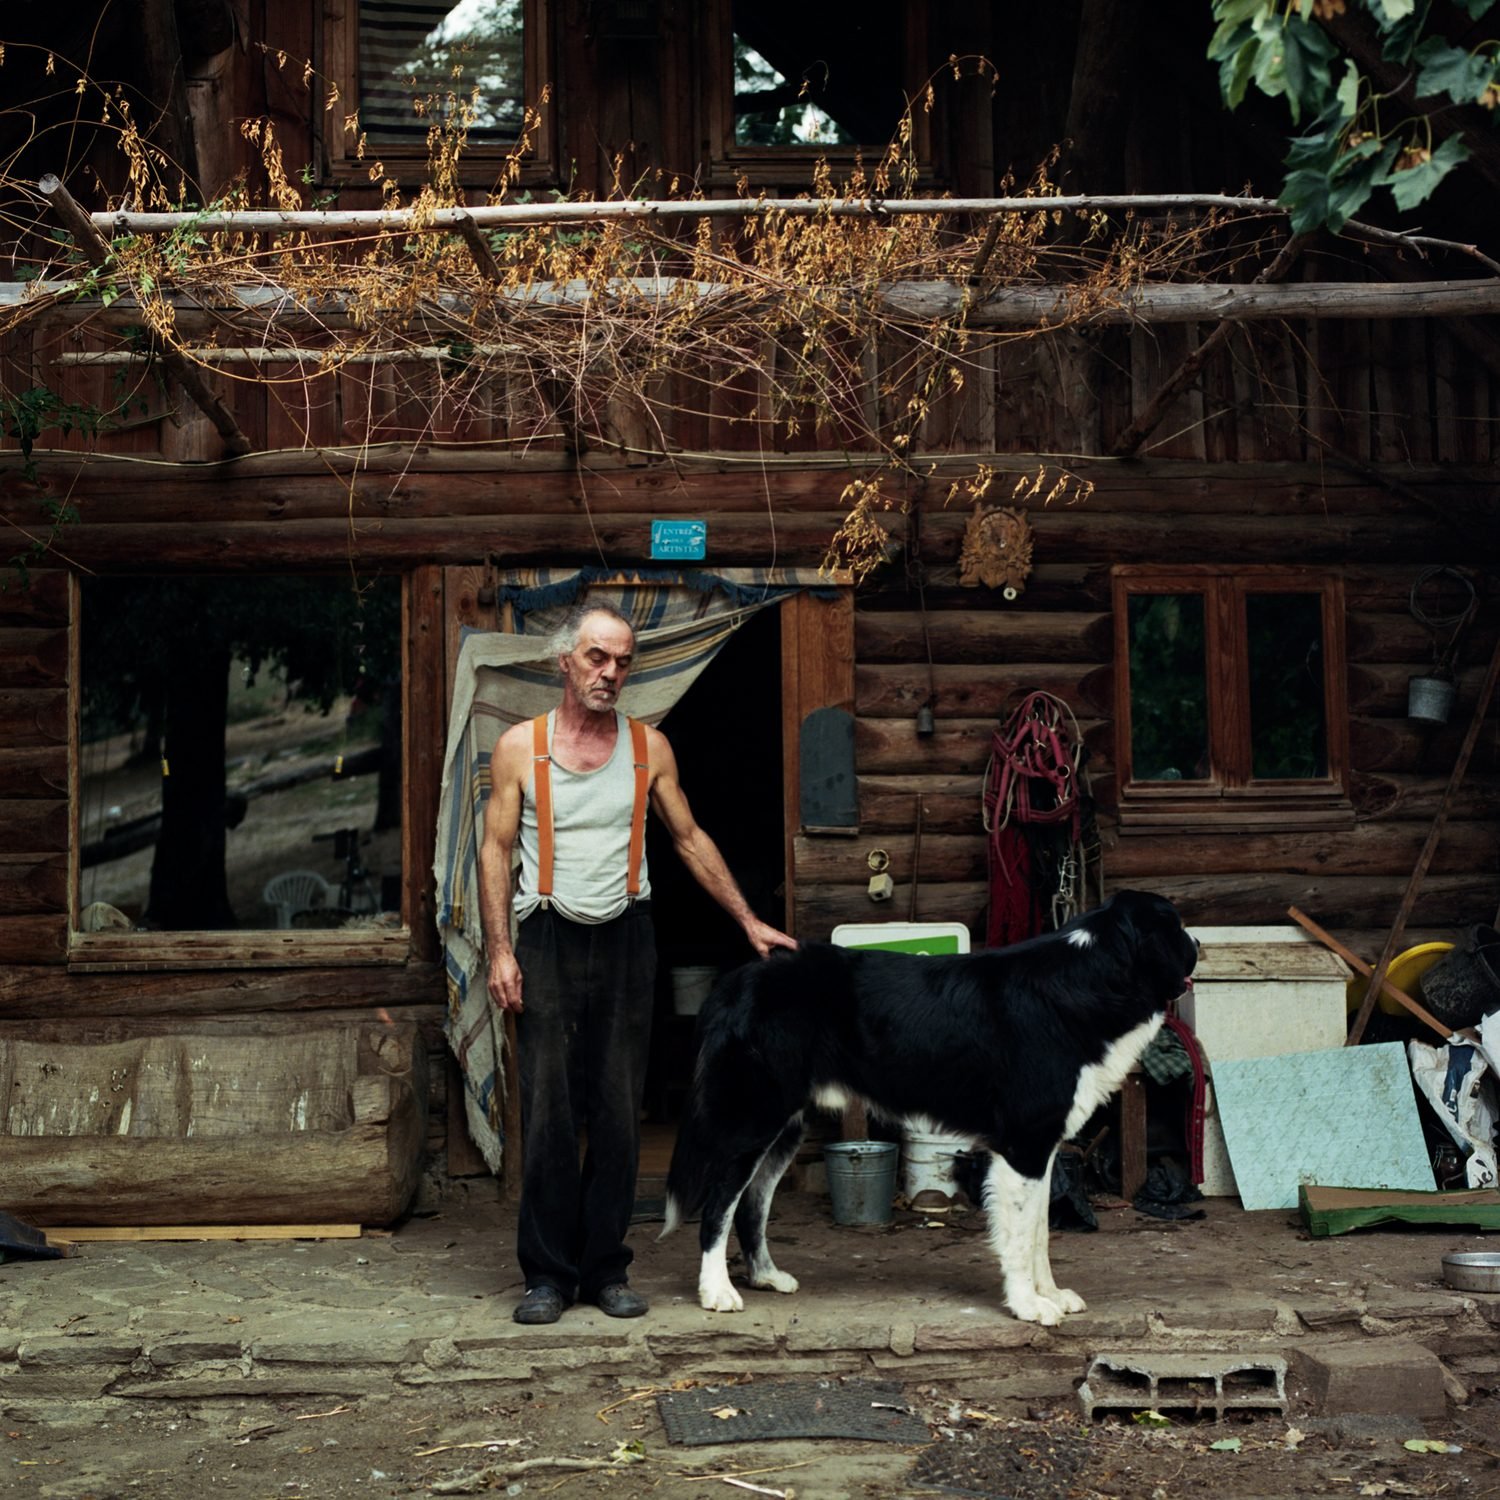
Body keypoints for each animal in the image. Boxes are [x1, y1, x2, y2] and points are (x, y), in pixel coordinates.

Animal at [662, 889, 1199, 1325]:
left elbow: (1040, 1233)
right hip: (751, 1119)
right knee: (719, 1204)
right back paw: (717, 1292)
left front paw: (1050, 1294)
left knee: (752, 1204)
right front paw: (1028, 1305)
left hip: (783, 1128)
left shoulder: (1040, 1148)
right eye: (1175, 928)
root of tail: (735, 982)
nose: (1197, 942)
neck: (1091, 976)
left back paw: (766, 1276)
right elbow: (1021, 1237)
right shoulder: (1023, 1146)